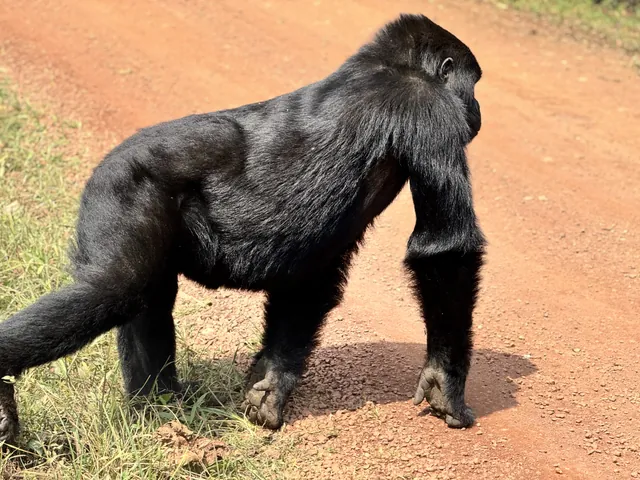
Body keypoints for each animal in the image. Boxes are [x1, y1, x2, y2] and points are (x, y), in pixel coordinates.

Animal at [0, 13, 485, 444]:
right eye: (474, 84)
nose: (478, 109)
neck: (389, 65)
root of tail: (105, 164)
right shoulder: (431, 109)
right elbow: (445, 249)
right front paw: (445, 379)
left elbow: (310, 282)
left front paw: (270, 386)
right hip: (121, 187)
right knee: (117, 287)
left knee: (148, 294)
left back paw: (158, 410)